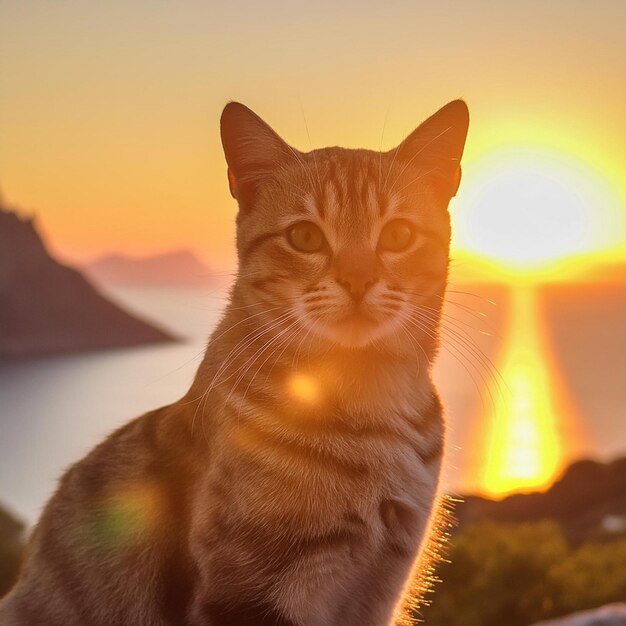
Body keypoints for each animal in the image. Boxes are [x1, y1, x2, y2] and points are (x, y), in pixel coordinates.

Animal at [1, 100, 468, 620]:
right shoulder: (243, 594)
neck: (368, 414)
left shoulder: (378, 592)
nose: (357, 280)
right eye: (305, 237)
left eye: (399, 234)